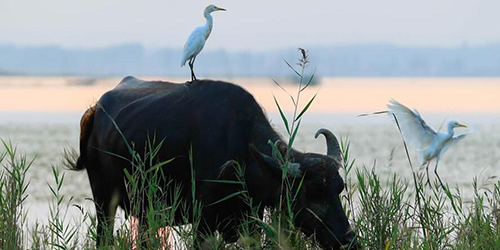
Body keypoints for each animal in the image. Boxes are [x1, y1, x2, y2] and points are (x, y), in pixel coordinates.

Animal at [66, 76, 360, 250]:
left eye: (339, 189)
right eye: (312, 193)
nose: (349, 239)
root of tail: (95, 110)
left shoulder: (249, 220)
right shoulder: (203, 221)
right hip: (104, 201)